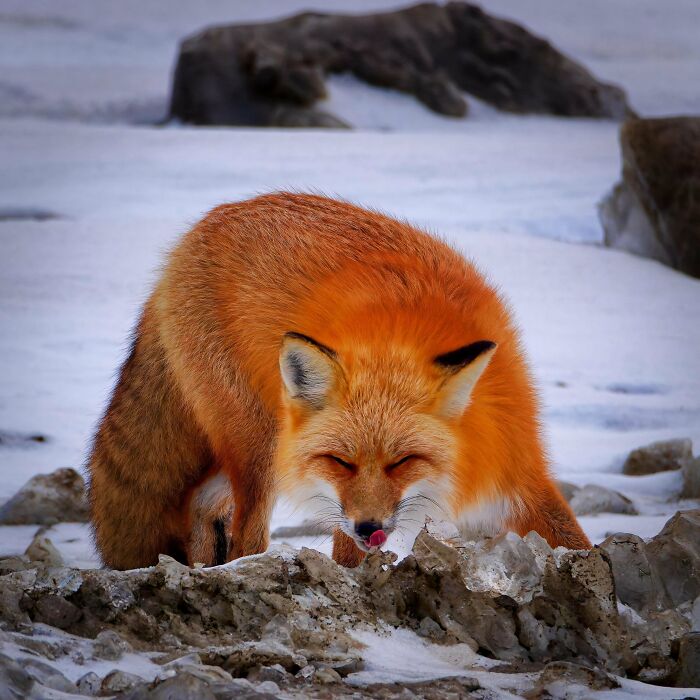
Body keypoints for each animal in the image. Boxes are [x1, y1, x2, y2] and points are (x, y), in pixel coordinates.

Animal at [87, 192, 590, 570]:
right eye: (340, 462)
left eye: (403, 462)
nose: (370, 527)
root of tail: (197, 230)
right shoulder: (341, 507)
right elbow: (347, 560)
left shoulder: (516, 467)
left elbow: (577, 544)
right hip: (263, 447)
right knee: (246, 539)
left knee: (201, 507)